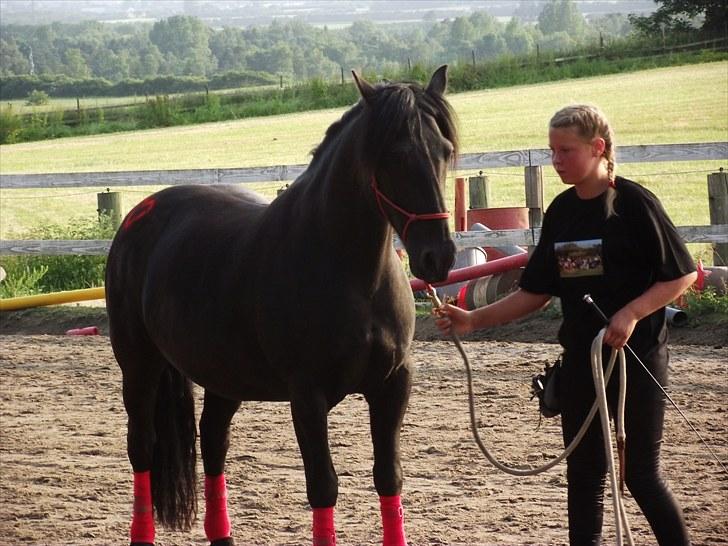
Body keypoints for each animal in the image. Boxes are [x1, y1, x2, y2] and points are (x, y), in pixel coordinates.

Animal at [105, 66, 459, 546]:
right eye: (396, 154)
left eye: (444, 150)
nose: (438, 257)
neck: (348, 270)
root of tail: (139, 214)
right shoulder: (307, 396)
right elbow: (323, 486)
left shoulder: (392, 385)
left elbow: (389, 477)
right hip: (139, 365)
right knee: (141, 446)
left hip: (223, 375)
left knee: (213, 440)